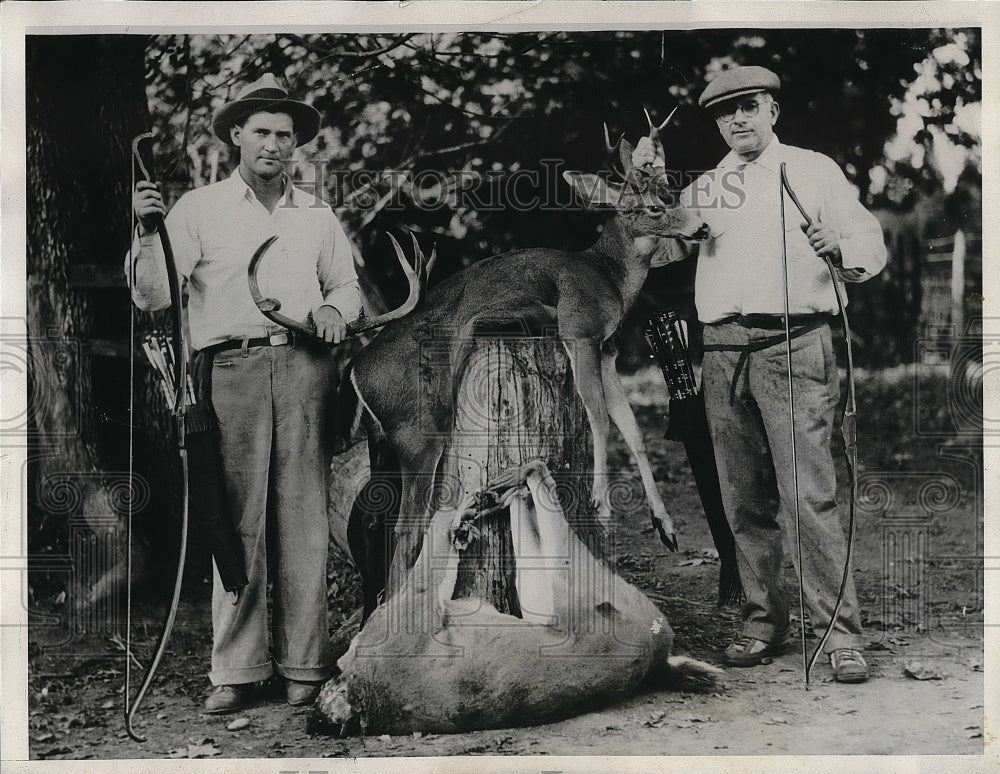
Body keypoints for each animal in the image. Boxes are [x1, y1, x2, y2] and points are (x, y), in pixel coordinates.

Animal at [247, 119, 708, 620]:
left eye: (672, 190)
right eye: (653, 206)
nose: (703, 227)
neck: (609, 276)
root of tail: (354, 368)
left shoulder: (606, 349)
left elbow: (634, 430)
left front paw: (666, 527)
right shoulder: (579, 330)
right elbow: (600, 416)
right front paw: (602, 505)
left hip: (381, 439)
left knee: (373, 517)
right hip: (420, 430)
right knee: (406, 526)